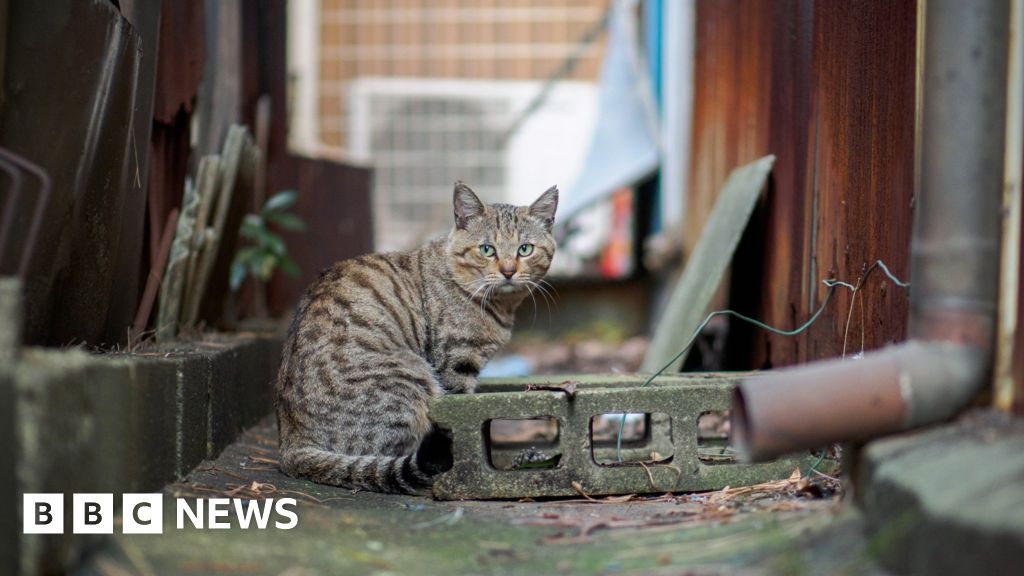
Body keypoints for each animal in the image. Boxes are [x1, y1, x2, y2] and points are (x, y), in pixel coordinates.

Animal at [276, 181, 557, 491]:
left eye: (525, 249)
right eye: (487, 249)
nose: (508, 271)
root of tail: (291, 442)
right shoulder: (456, 365)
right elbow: (462, 419)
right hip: (411, 378)